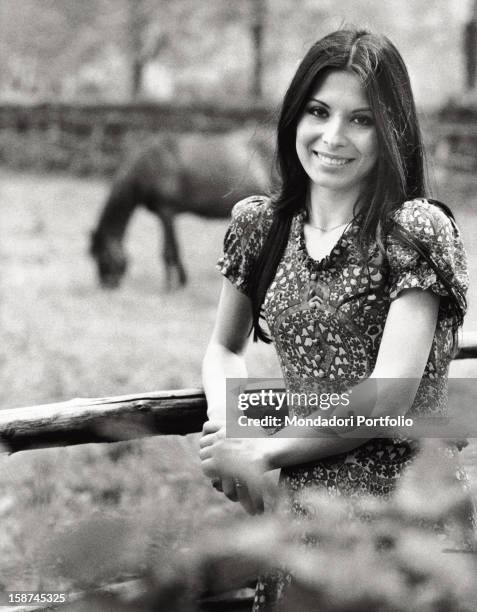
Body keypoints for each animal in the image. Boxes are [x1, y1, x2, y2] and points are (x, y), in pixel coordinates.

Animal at [89, 127, 272, 290]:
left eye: (102, 256)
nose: (107, 285)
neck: (151, 164)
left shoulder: (166, 211)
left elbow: (169, 250)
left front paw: (171, 285)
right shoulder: (166, 213)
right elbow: (174, 248)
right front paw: (181, 280)